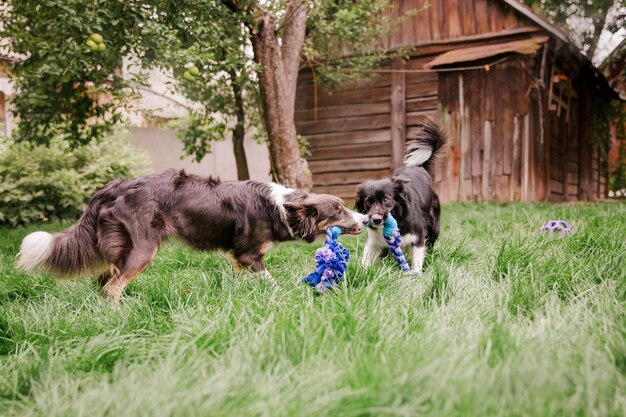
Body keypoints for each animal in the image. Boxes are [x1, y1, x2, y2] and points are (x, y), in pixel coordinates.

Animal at [17, 169, 366, 302]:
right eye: (337, 211)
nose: (365, 218)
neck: (280, 207)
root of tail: (112, 187)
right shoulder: (249, 254)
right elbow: (270, 280)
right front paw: (284, 295)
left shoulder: (237, 257)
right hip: (143, 249)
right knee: (113, 285)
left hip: (120, 249)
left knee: (104, 280)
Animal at [356, 118, 444, 272]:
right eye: (368, 202)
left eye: (386, 199)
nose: (376, 219)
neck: (399, 216)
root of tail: (418, 167)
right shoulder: (374, 241)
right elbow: (366, 259)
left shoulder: (417, 237)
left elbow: (417, 259)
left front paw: (416, 274)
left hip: (433, 226)